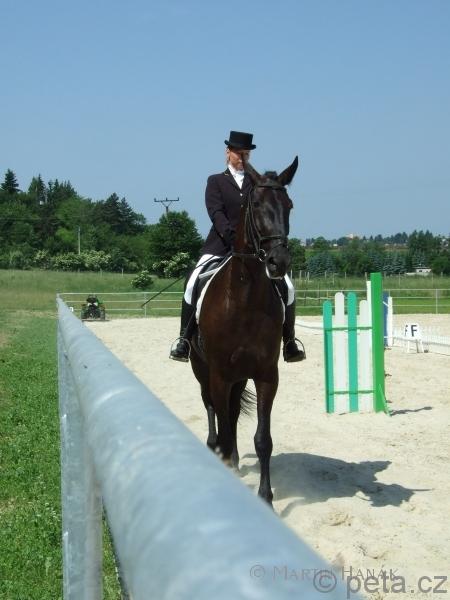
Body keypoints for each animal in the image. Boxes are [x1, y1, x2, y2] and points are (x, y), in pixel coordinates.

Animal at [189, 156, 299, 506]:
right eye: (256, 204)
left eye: (289, 205)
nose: (279, 262)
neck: (245, 300)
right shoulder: (219, 374)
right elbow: (224, 425)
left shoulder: (265, 375)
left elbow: (263, 439)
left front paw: (265, 497)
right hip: (203, 370)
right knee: (213, 409)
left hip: (239, 376)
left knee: (234, 412)